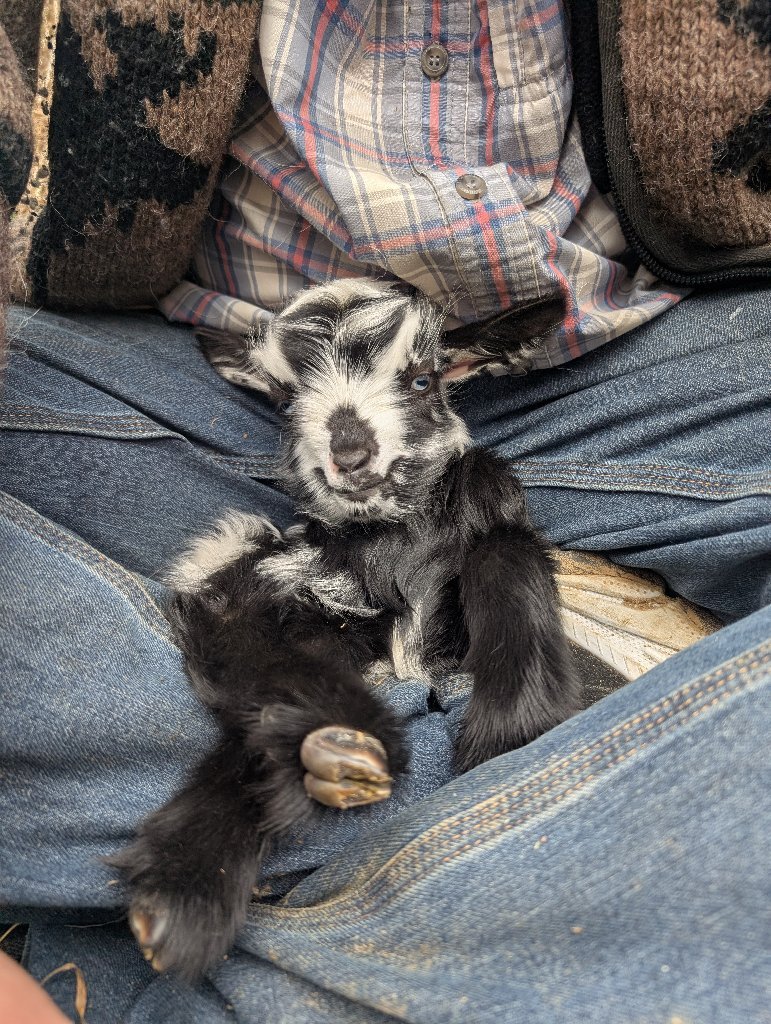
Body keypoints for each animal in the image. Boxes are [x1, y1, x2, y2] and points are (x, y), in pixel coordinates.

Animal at [114, 280, 580, 981]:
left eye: (422, 379)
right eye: (286, 398)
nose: (350, 454)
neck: (390, 551)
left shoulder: (485, 519)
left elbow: (507, 553)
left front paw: (513, 724)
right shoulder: (260, 593)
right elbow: (266, 670)